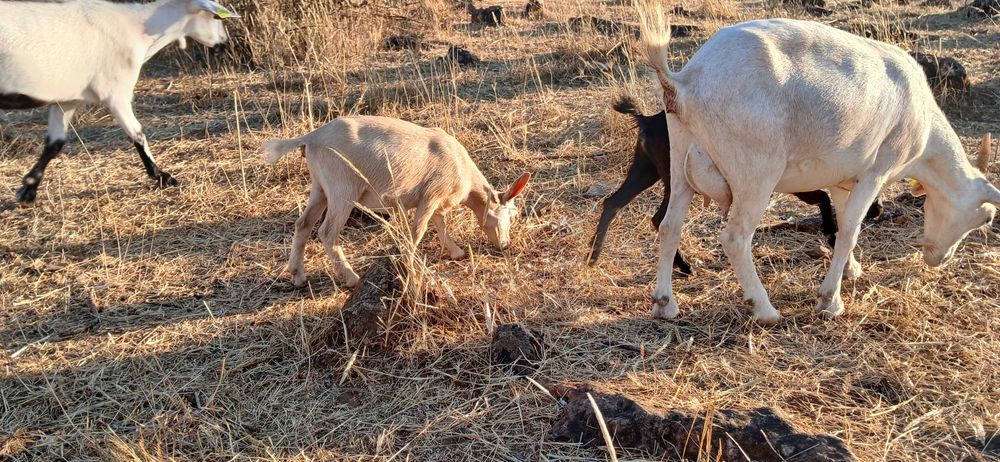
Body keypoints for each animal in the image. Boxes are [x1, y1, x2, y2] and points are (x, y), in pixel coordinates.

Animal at [0, 0, 239, 203]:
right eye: (216, 17)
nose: (225, 44)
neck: (138, 30)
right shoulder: (117, 93)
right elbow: (138, 134)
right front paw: (162, 176)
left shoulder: (67, 100)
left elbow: (54, 144)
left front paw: (28, 189)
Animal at [262, 115, 531, 288]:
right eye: (511, 214)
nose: (506, 245)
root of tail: (311, 137)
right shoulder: (431, 195)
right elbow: (419, 230)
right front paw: (410, 264)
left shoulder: (435, 200)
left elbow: (440, 224)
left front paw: (456, 252)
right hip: (342, 188)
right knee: (327, 233)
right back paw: (351, 278)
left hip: (320, 187)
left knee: (303, 224)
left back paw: (298, 276)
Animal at [587, 96, 883, 270]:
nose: (877, 210)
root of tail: (646, 121)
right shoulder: (793, 184)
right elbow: (822, 197)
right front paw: (832, 237)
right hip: (672, 181)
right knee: (658, 218)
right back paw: (683, 267)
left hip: (645, 171)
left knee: (612, 203)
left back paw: (592, 257)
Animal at [635, 3, 1000, 324]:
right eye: (984, 218)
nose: (939, 259)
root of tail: (684, 82)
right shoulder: (876, 172)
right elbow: (851, 229)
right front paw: (830, 301)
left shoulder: (845, 178)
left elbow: (842, 220)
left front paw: (851, 271)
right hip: (756, 171)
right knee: (736, 237)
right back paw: (765, 309)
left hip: (679, 157)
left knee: (669, 225)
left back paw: (664, 304)